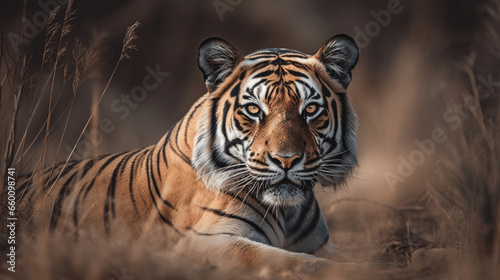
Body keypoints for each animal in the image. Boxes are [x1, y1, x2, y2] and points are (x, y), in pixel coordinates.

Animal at [16, 34, 360, 276]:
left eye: (310, 110)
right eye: (253, 110)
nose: (286, 160)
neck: (287, 212)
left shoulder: (322, 244)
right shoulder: (204, 241)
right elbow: (287, 259)